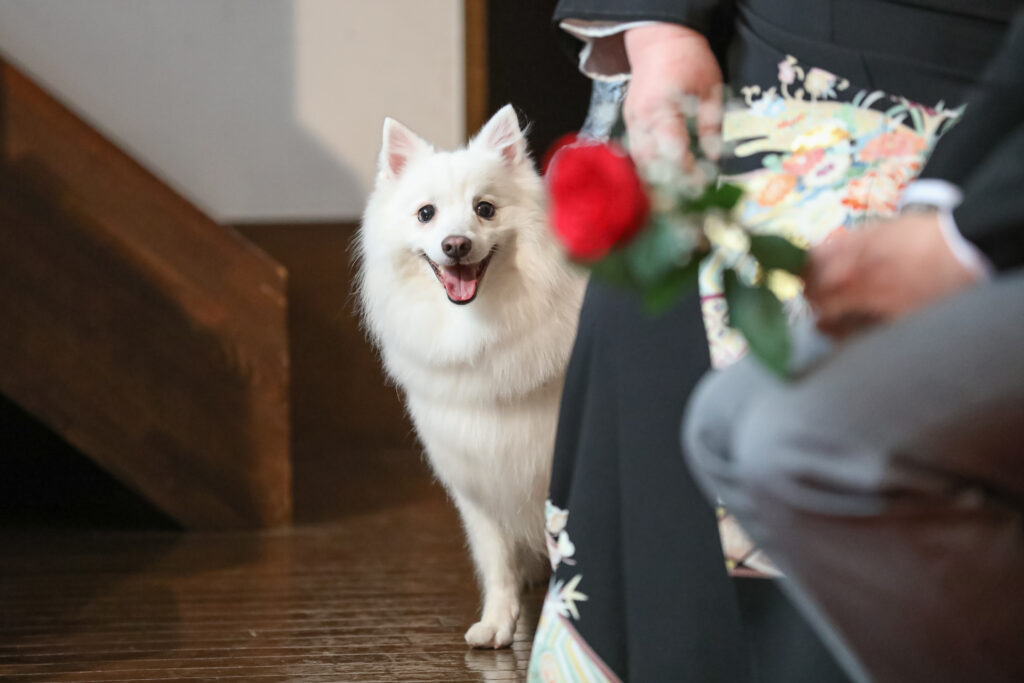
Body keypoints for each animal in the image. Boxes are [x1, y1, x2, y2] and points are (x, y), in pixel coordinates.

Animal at [358, 105, 585, 647]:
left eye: (485, 209)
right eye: (426, 214)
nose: (456, 245)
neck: (479, 330)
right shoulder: (479, 479)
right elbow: (496, 561)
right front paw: (499, 622)